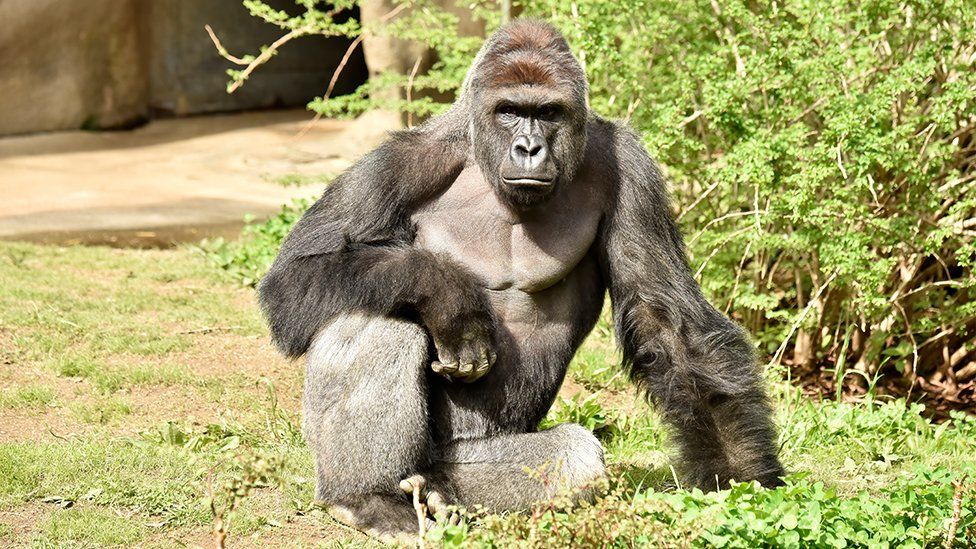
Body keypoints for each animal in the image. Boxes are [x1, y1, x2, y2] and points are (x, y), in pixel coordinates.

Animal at [260, 19, 784, 536]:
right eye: (510, 111)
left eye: (548, 112)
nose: (529, 148)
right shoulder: (400, 162)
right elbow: (294, 276)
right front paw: (447, 295)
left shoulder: (632, 171)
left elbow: (666, 320)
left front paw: (741, 477)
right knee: (374, 314)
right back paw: (365, 496)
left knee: (571, 456)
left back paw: (440, 491)